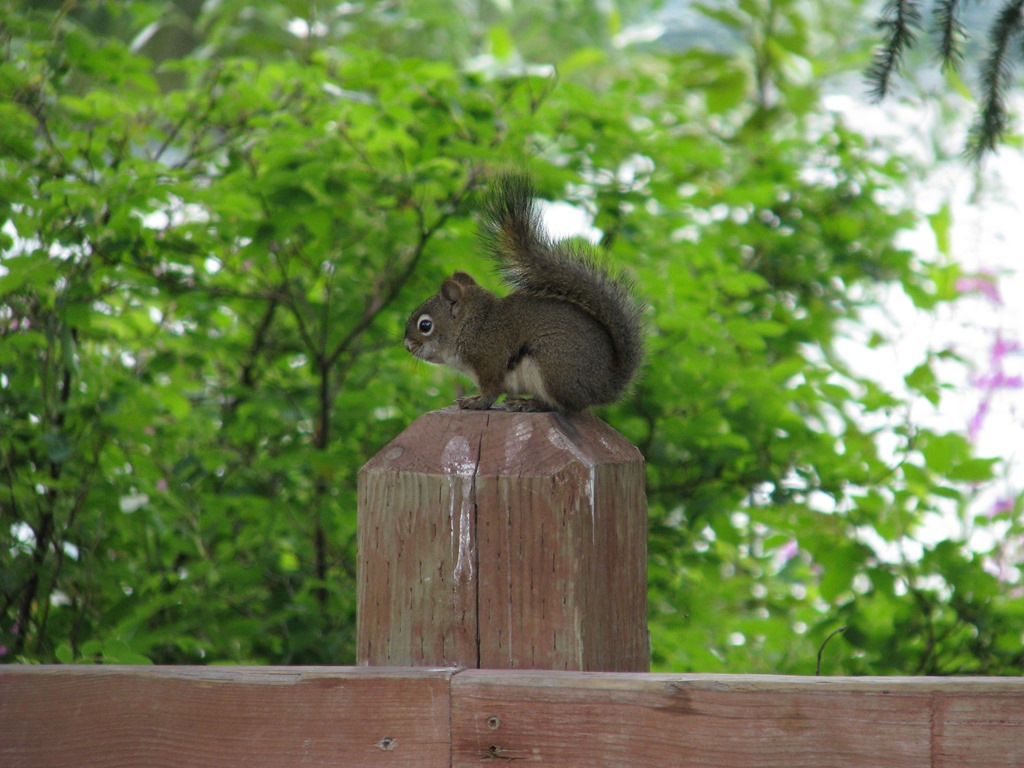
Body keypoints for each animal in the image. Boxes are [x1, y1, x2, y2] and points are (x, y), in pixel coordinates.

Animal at [403, 172, 643, 417]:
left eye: (425, 325)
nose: (407, 346)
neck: (471, 325)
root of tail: (604, 386)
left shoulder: (490, 361)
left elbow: (491, 391)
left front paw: (476, 401)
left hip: (552, 363)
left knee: (563, 406)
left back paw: (528, 403)